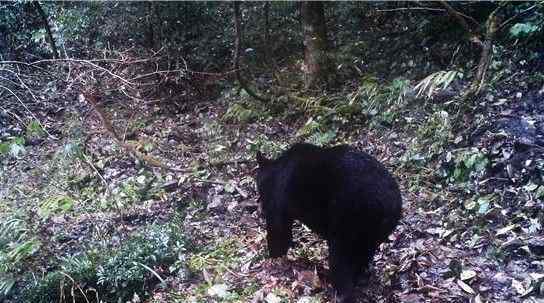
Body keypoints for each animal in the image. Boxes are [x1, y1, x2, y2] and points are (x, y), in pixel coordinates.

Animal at [256, 143, 404, 303]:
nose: (259, 203)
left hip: (349, 218)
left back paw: (339, 290)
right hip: (374, 231)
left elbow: (278, 229)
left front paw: (273, 258)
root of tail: (389, 203)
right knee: (363, 253)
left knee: (340, 257)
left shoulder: (279, 198)